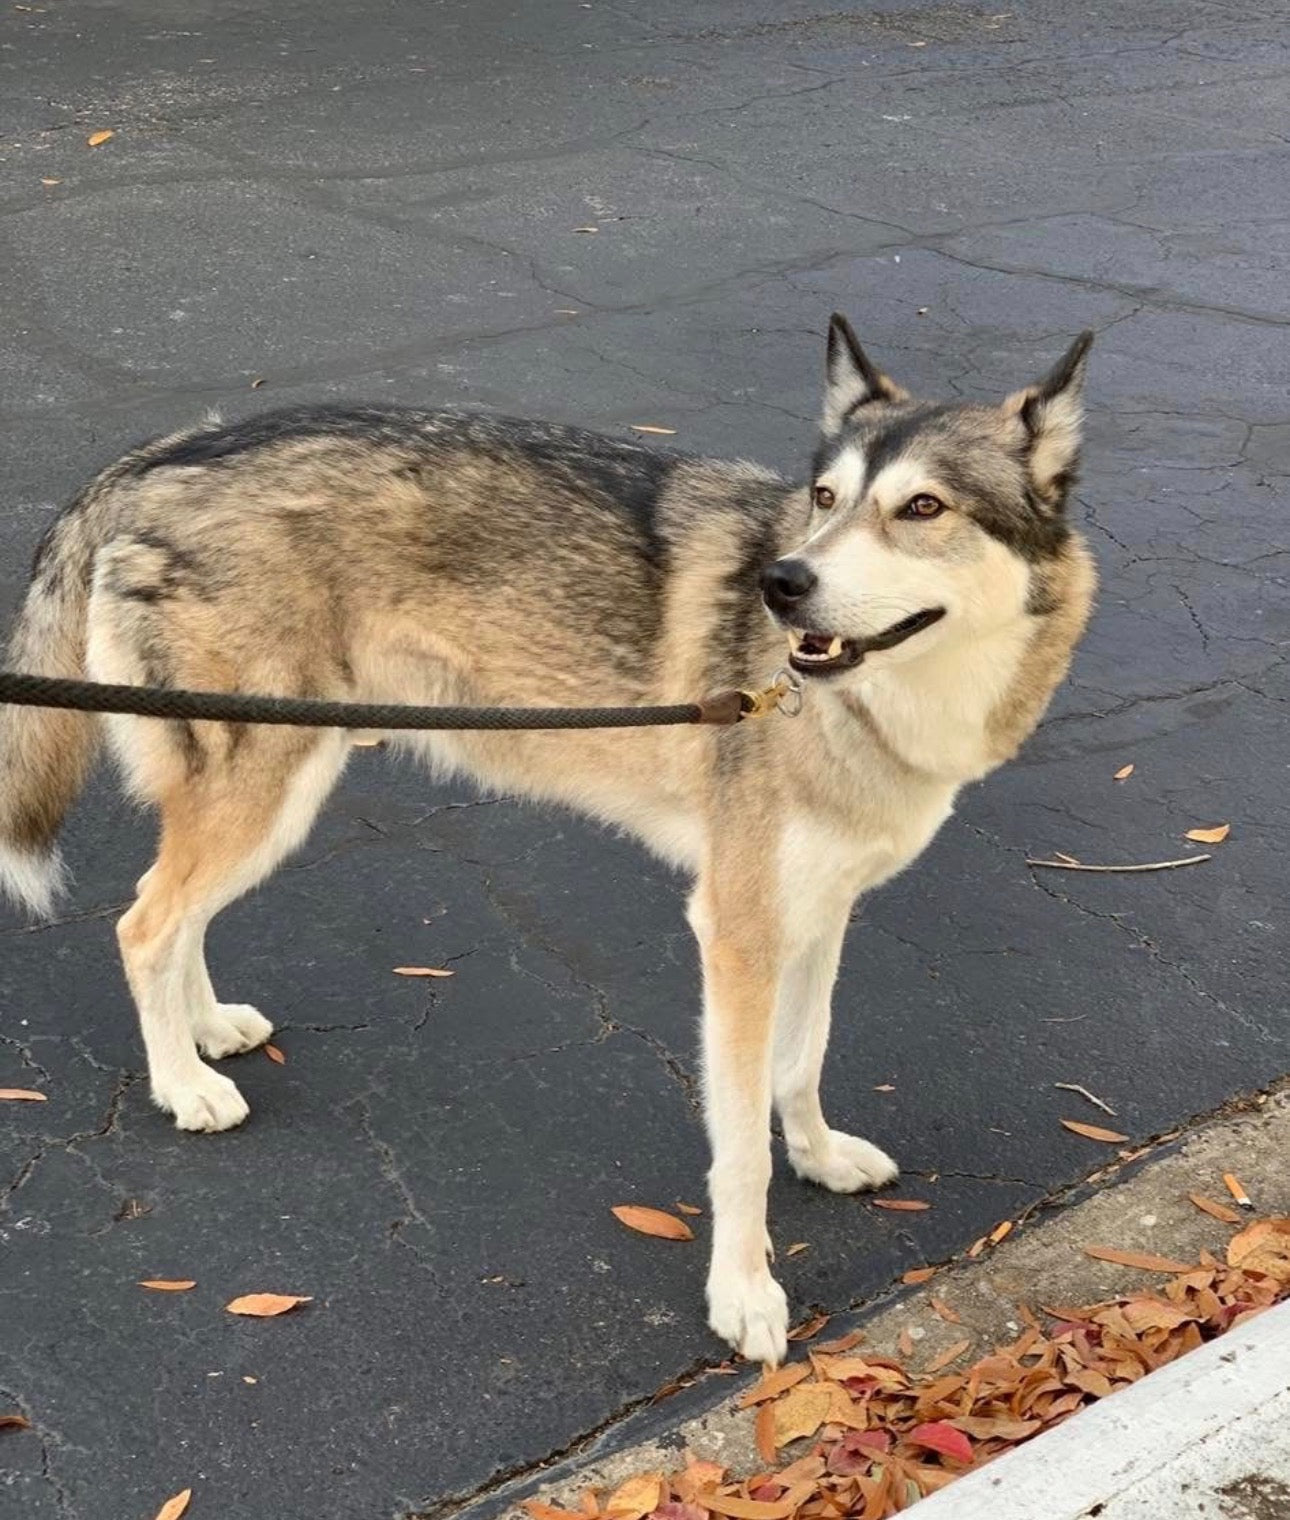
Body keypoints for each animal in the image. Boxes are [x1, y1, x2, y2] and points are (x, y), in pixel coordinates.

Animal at [0, 316, 1095, 1363]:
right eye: (827, 497)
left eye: (923, 509)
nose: (783, 582)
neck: (871, 701)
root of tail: (161, 452)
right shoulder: (738, 933)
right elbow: (740, 1145)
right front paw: (744, 1296)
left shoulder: (821, 913)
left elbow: (804, 1060)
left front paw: (820, 1158)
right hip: (270, 791)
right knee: (144, 924)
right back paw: (184, 1087)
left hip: (276, 792)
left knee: (177, 916)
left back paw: (207, 1030)